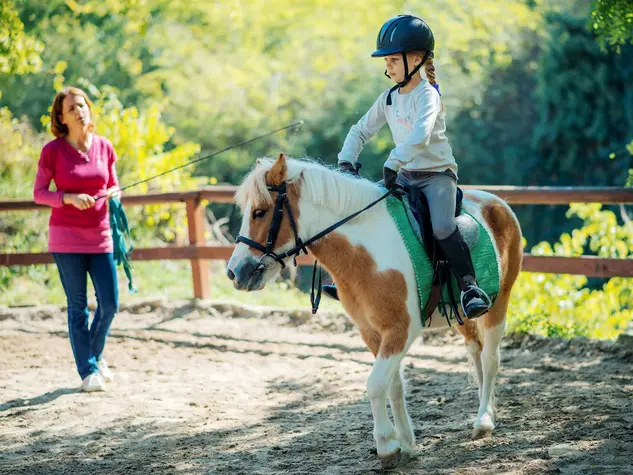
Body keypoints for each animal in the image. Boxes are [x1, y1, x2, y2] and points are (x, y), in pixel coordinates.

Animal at [225, 154, 520, 470]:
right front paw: (407, 443)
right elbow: (393, 386)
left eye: (260, 212)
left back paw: (484, 421)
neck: (366, 253)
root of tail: (497, 202)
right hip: (462, 314)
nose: (235, 272)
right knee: (475, 353)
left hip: (498, 304)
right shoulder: (370, 331)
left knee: (490, 359)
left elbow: (376, 385)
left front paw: (387, 447)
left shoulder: (401, 331)